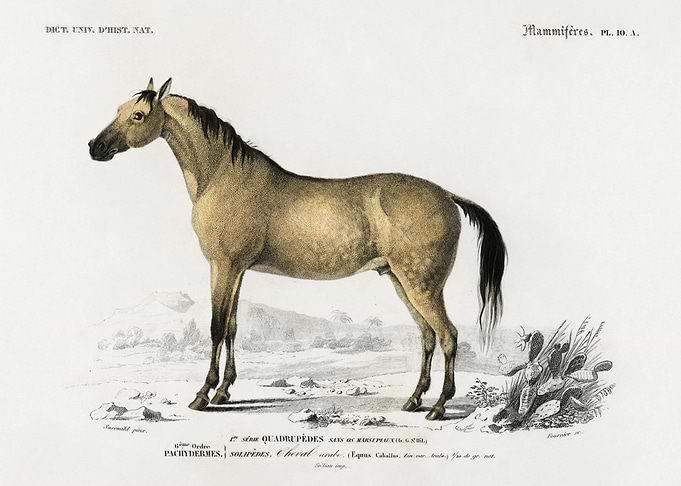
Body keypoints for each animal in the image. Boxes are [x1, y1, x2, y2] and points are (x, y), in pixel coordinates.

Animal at [89, 78, 506, 420]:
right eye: (119, 109)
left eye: (139, 114)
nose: (95, 147)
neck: (224, 176)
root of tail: (447, 195)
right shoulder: (237, 270)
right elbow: (233, 328)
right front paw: (225, 391)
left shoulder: (222, 266)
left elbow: (216, 327)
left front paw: (203, 395)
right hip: (401, 281)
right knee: (428, 336)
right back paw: (414, 400)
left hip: (422, 284)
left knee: (448, 335)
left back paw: (438, 407)